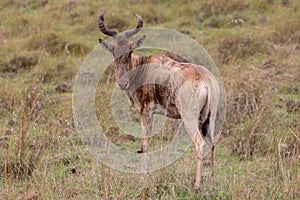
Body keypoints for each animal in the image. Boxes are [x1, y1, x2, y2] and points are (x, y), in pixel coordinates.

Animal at [98, 12, 220, 192]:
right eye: (114, 52)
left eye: (130, 51)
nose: (122, 83)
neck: (144, 66)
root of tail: (205, 80)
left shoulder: (146, 112)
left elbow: (144, 145)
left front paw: (143, 182)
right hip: (208, 118)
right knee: (212, 144)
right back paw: (211, 184)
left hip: (189, 118)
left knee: (200, 143)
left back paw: (197, 186)